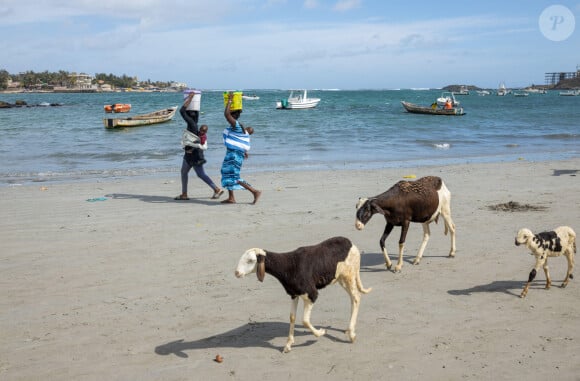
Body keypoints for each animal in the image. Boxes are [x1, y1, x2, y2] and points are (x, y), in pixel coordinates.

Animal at [232, 236, 372, 352]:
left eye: (250, 260)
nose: (236, 273)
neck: (289, 266)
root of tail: (350, 243)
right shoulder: (294, 293)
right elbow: (292, 317)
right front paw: (288, 345)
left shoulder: (311, 294)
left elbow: (304, 320)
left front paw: (320, 333)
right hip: (341, 278)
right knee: (353, 298)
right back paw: (348, 330)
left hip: (349, 275)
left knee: (356, 298)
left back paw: (352, 334)